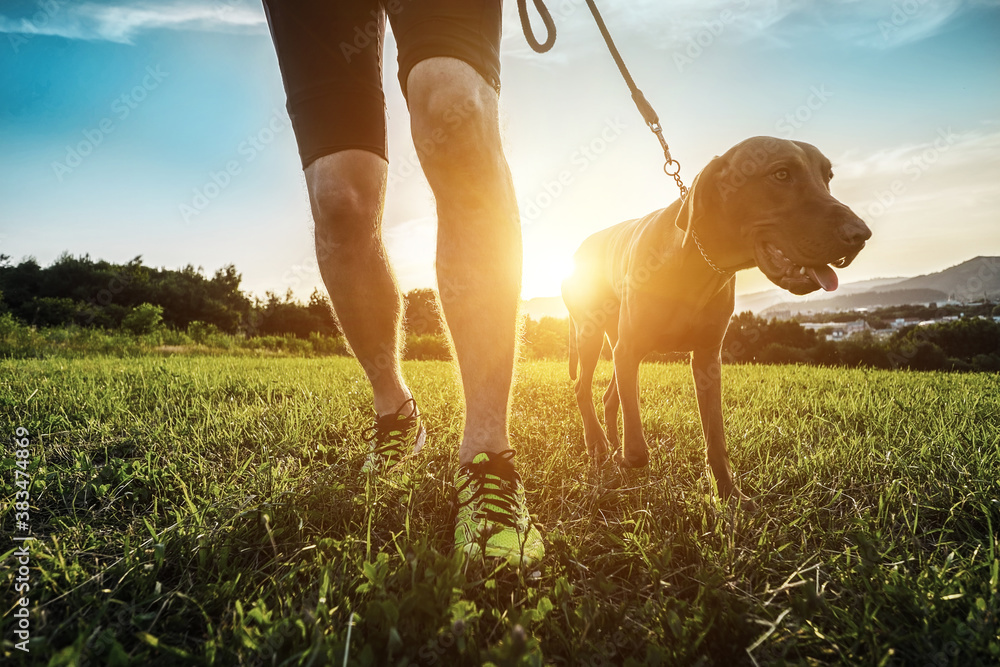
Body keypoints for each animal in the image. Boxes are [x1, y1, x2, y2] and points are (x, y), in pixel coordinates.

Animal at [560, 136, 872, 504]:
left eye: (828, 176)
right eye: (781, 174)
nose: (861, 234)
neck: (699, 263)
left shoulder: (707, 357)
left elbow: (716, 438)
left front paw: (729, 494)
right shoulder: (631, 347)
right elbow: (637, 451)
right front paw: (625, 457)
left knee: (611, 395)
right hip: (590, 333)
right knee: (582, 387)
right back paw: (597, 444)